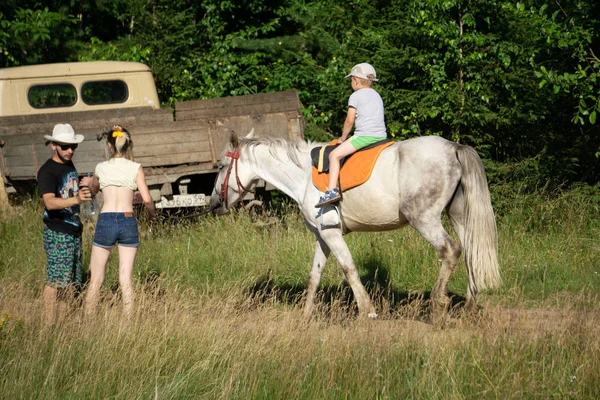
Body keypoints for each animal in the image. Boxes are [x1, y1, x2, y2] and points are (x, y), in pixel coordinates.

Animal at [209, 131, 500, 318]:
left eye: (221, 166)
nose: (213, 204)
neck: (303, 176)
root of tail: (453, 147)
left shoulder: (333, 235)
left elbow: (349, 269)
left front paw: (367, 311)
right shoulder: (323, 236)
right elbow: (314, 276)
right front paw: (304, 316)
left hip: (424, 219)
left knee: (451, 250)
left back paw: (438, 302)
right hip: (458, 216)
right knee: (471, 254)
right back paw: (470, 305)